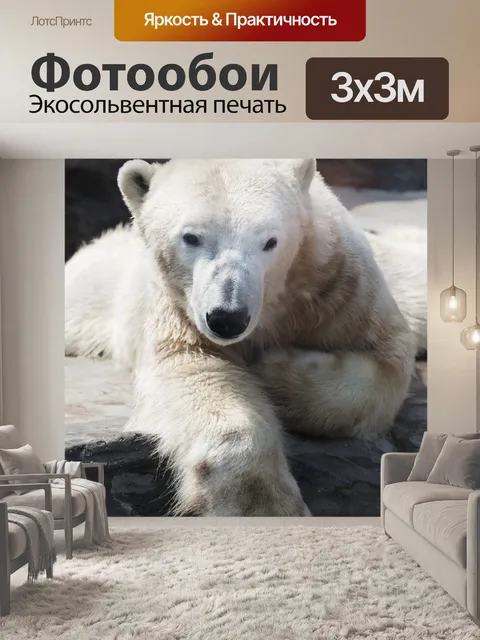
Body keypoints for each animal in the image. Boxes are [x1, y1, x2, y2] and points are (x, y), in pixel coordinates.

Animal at [65, 159, 417, 517]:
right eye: (191, 237)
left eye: (270, 241)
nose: (228, 318)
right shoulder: (177, 311)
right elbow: (194, 371)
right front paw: (262, 505)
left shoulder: (340, 286)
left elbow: (386, 362)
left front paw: (272, 368)